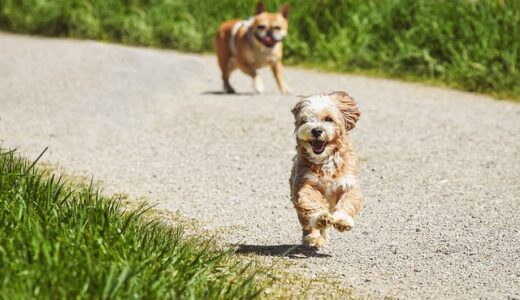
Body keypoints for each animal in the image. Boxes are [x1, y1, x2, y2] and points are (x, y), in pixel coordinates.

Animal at [290, 91, 364, 248]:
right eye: (306, 120)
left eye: (328, 119)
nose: (316, 130)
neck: (325, 159)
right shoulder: (305, 183)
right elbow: (312, 202)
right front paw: (321, 218)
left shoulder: (349, 182)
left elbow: (349, 201)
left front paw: (343, 220)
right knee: (307, 222)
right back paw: (314, 237)